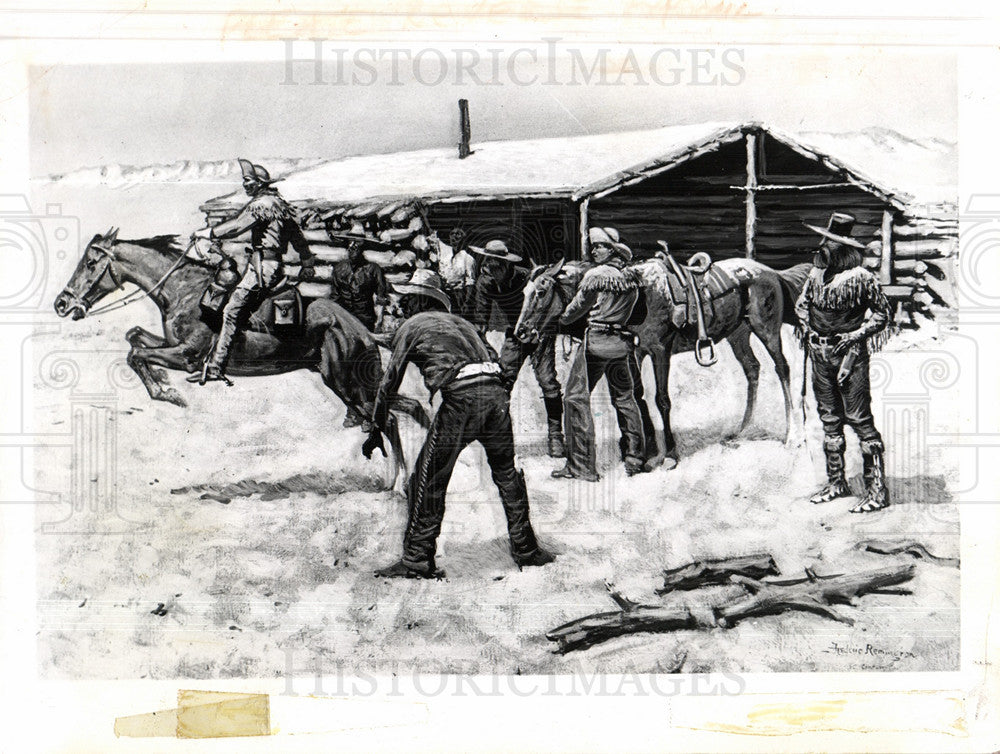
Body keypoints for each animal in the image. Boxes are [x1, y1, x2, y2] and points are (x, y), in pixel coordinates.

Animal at [53, 229, 430, 488]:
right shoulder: (171, 345)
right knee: (407, 409)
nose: (61, 303)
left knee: (388, 420)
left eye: (90, 264)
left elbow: (137, 353)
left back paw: (396, 481)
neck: (185, 291)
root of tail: (362, 329)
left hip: (348, 384)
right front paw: (163, 386)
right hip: (350, 385)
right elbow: (134, 338)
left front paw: (169, 394)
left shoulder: (187, 356)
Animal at [516, 254, 812, 464]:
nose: (521, 332)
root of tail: (771, 272)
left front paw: (669, 453)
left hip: (766, 330)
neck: (639, 294)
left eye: (540, 292)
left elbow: (662, 399)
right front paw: (645, 449)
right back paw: (742, 429)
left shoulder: (660, 351)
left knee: (783, 369)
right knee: (752, 369)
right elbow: (638, 397)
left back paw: (793, 436)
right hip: (738, 334)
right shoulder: (635, 353)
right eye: (523, 292)